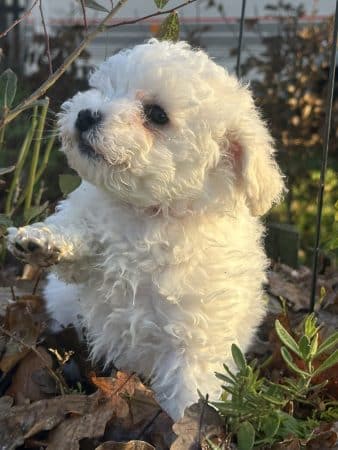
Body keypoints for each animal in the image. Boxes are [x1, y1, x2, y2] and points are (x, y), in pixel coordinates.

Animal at [6, 39, 284, 422]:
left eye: (156, 114)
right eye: (106, 88)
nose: (86, 114)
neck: (150, 214)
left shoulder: (196, 339)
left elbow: (190, 392)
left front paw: (186, 425)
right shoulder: (92, 224)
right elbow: (76, 230)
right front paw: (41, 241)